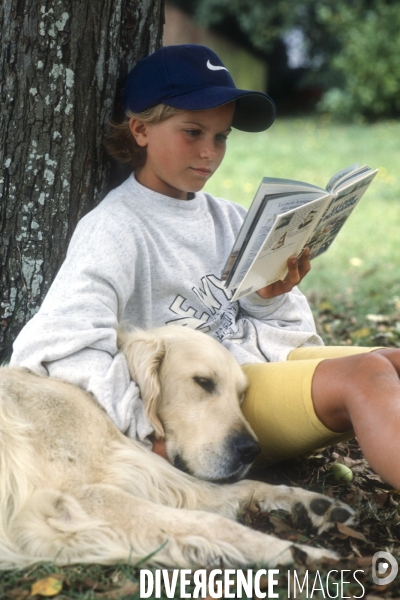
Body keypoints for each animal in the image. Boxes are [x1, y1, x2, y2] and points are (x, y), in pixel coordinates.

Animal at [0, 326, 354, 568]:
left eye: (240, 395)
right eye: (203, 382)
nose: (250, 450)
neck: (103, 408)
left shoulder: (151, 473)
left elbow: (240, 488)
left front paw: (311, 504)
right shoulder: (75, 499)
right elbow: (210, 521)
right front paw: (304, 553)